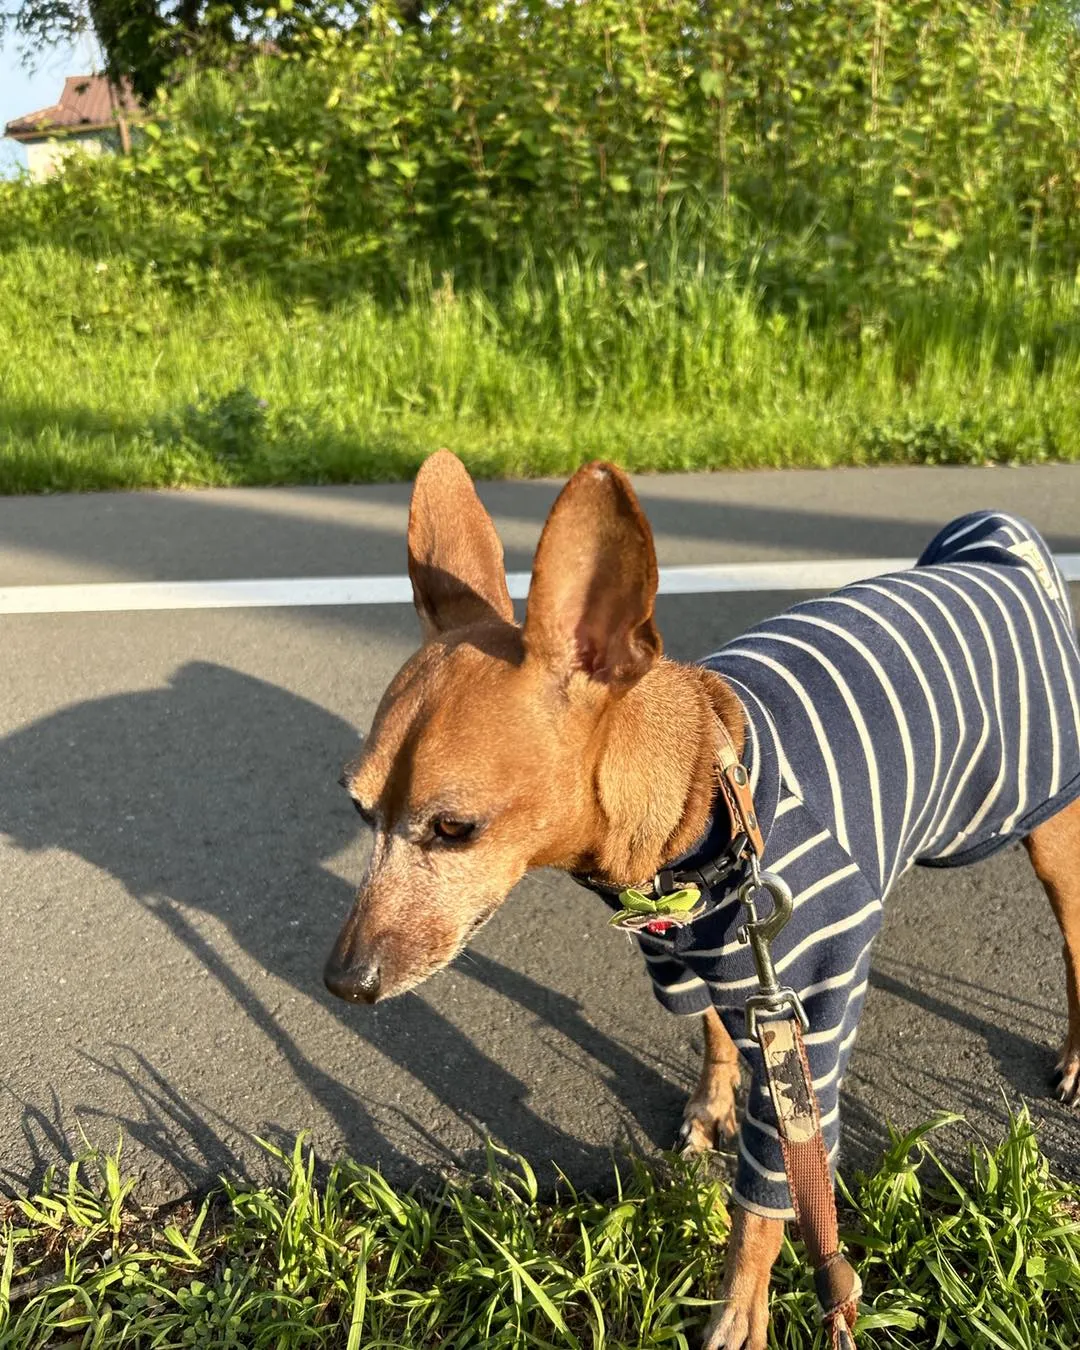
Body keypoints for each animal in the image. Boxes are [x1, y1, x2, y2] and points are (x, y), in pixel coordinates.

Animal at [325, 456, 1080, 1350]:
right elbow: (717, 1030)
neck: (704, 792)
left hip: (1051, 828)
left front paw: (740, 1310)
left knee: (1074, 942)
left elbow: (767, 1200)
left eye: (453, 827)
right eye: (357, 809)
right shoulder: (693, 955)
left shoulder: (805, 1026)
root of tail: (997, 548)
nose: (343, 981)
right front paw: (712, 1103)